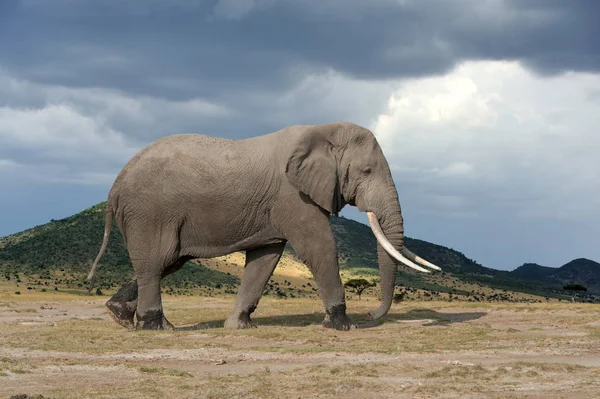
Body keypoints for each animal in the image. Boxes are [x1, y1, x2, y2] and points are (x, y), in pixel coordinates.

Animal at [86, 122, 438, 332]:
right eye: (366, 171)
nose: (370, 316)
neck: (320, 131)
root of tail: (115, 185)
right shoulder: (293, 196)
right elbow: (320, 246)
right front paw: (342, 326)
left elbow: (265, 258)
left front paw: (238, 326)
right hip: (151, 212)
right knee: (155, 262)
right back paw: (155, 328)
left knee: (168, 262)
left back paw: (119, 315)